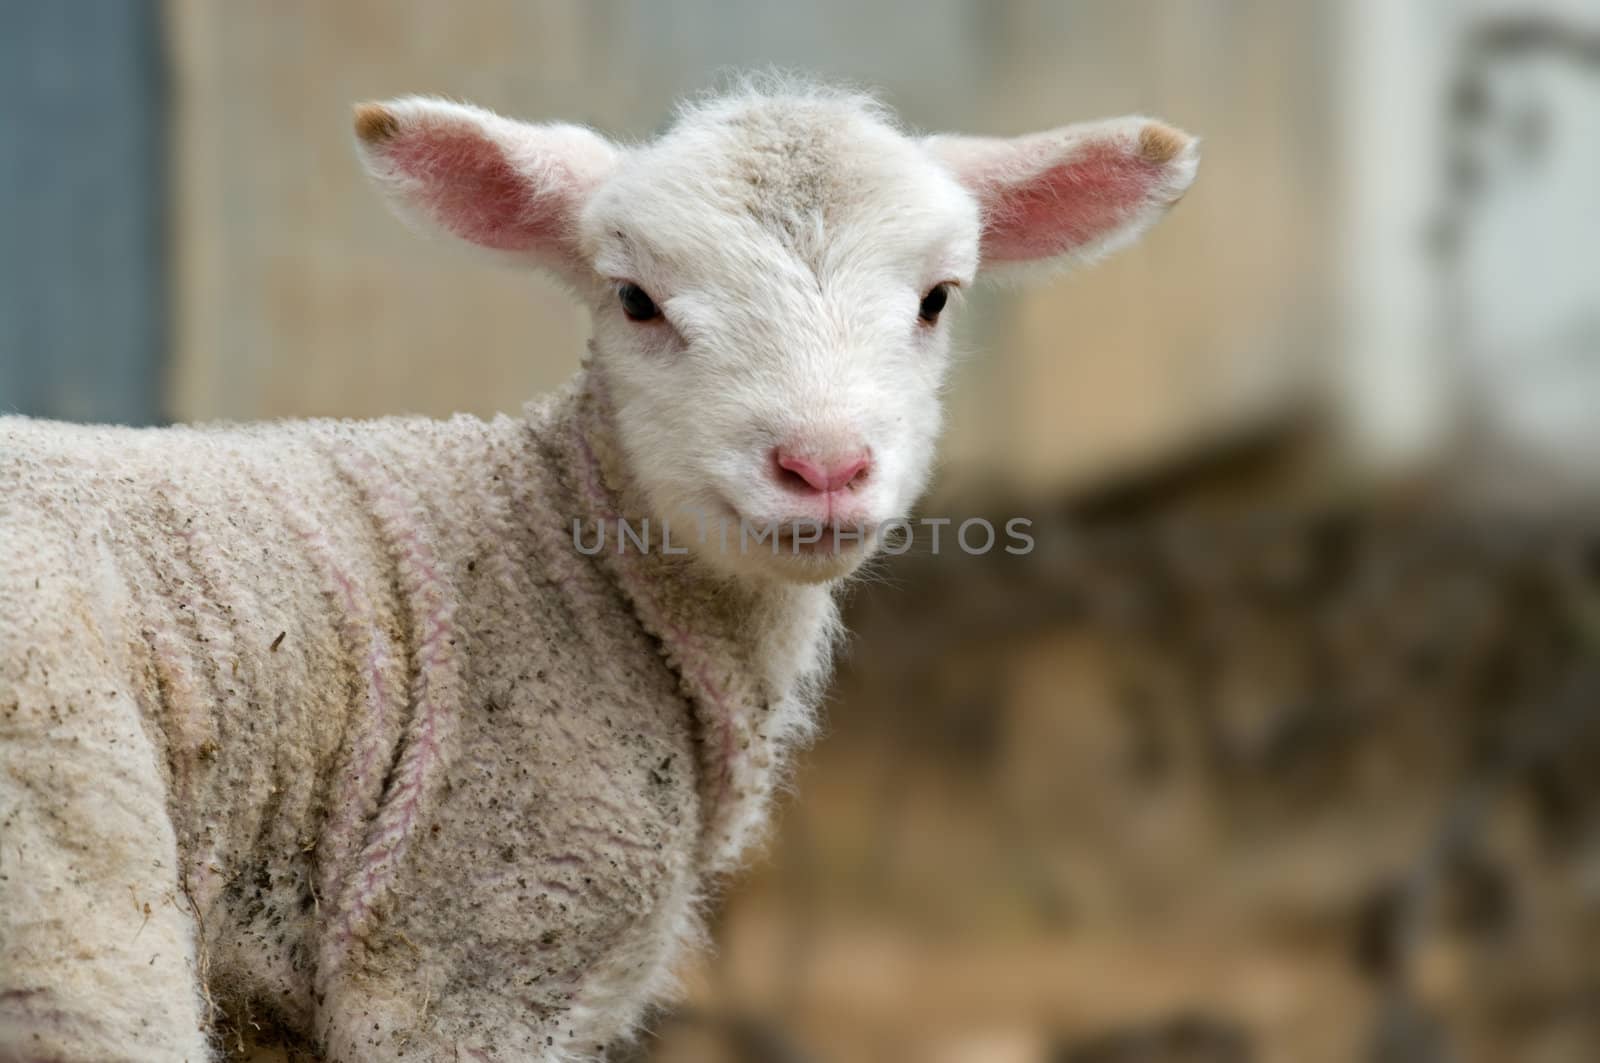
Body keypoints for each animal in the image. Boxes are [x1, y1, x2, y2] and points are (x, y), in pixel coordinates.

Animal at [0, 78, 1196, 1056]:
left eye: (938, 298)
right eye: (636, 300)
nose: (823, 467)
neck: (556, 555)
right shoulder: (471, 936)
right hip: (70, 885)